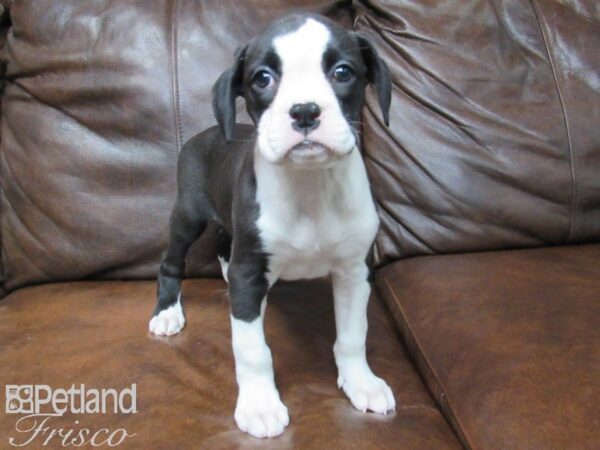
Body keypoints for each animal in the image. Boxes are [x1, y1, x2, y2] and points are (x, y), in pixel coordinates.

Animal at [149, 13, 394, 440]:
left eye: (343, 72)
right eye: (262, 78)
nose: (305, 111)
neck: (309, 186)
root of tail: (203, 134)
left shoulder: (354, 271)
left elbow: (353, 335)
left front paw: (361, 381)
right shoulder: (250, 271)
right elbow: (252, 350)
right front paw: (260, 404)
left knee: (224, 240)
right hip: (187, 216)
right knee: (172, 261)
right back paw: (167, 311)